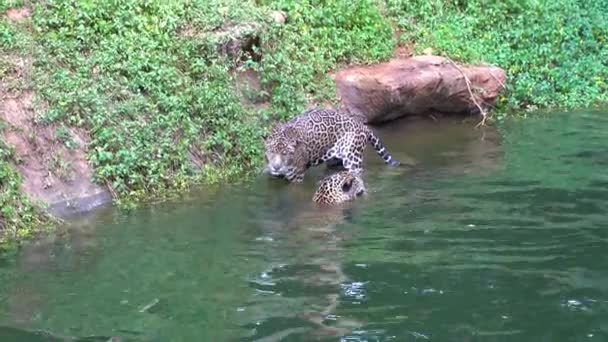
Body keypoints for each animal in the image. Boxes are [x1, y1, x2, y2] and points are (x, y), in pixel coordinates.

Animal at [262, 107, 400, 183]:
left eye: (285, 154)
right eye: (271, 152)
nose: (276, 167)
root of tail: (362, 126)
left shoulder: (297, 176)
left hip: (352, 158)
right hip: (334, 161)